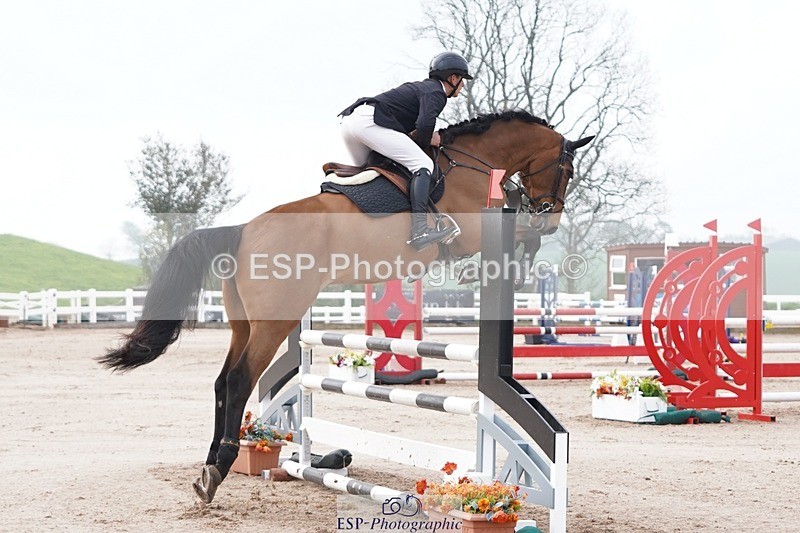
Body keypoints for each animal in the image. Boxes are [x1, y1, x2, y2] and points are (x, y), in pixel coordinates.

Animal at [99, 110, 593, 503]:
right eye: (567, 169)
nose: (552, 216)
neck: (474, 162)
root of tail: (242, 231)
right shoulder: (473, 233)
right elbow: (525, 237)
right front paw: (509, 265)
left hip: (244, 322)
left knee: (223, 381)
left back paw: (211, 464)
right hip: (275, 320)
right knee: (240, 379)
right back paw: (219, 467)